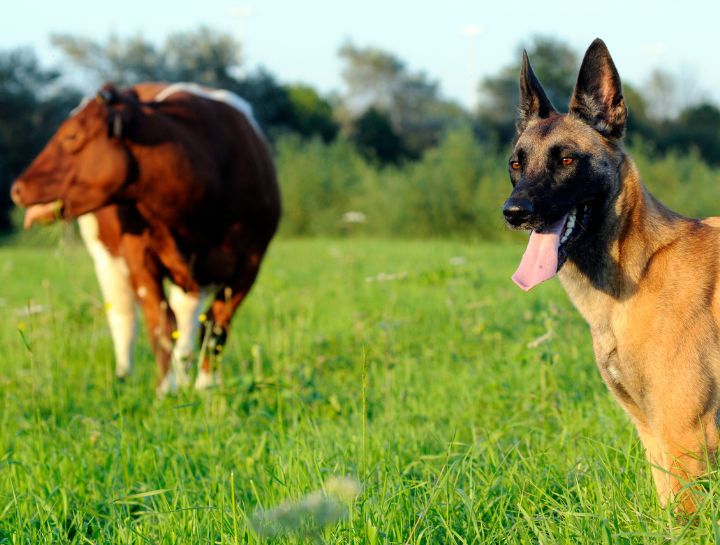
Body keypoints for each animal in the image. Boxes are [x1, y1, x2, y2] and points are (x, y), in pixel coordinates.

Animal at [11, 82, 282, 392]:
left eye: (71, 135)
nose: (17, 188)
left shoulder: (251, 261)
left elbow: (215, 327)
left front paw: (206, 386)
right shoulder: (139, 256)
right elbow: (160, 326)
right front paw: (166, 389)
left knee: (187, 318)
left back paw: (184, 369)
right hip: (105, 257)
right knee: (124, 317)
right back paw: (124, 376)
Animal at [504, 39, 720, 516]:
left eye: (566, 159)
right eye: (516, 164)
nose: (514, 212)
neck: (639, 271)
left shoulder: (686, 436)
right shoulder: (654, 434)